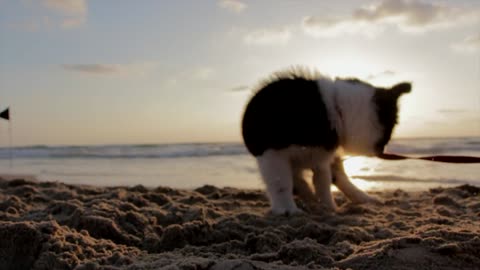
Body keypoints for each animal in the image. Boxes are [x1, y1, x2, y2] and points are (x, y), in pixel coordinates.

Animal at [242, 68, 410, 215]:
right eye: (390, 128)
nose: (383, 150)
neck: (336, 109)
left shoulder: (322, 159)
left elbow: (323, 183)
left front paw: (329, 208)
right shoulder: (272, 153)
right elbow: (281, 182)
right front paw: (287, 210)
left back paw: (363, 198)